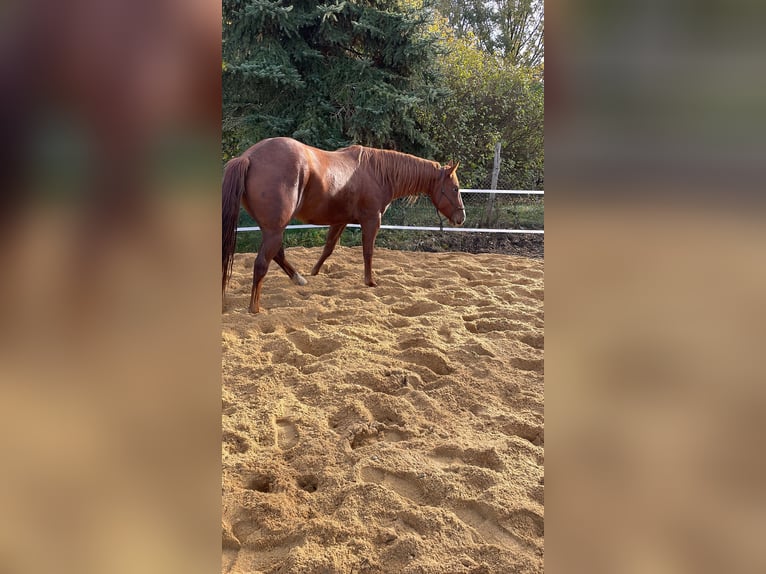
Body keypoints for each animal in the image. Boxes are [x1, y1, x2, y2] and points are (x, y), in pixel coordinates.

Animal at [219, 137, 464, 312]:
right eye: (455, 188)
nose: (462, 218)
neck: (377, 173)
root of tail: (248, 157)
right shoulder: (371, 220)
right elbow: (368, 251)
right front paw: (370, 281)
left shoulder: (341, 221)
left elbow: (328, 248)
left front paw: (315, 272)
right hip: (275, 229)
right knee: (262, 263)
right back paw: (254, 308)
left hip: (271, 229)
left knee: (277, 255)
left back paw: (299, 279)